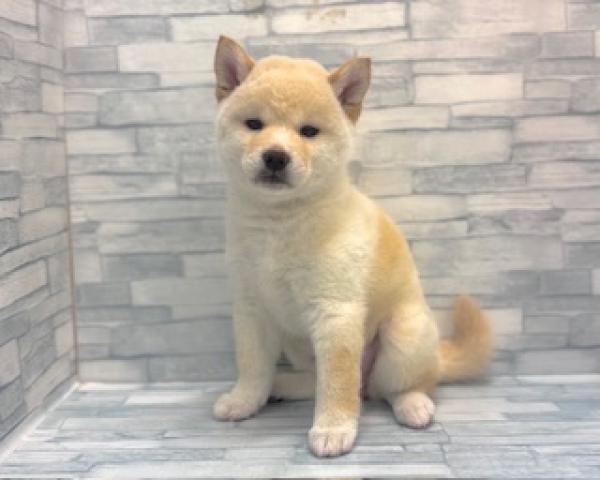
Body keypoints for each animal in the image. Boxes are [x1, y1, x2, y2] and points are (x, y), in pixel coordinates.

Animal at [212, 35, 494, 458]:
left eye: (309, 131)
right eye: (254, 125)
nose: (276, 156)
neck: (280, 224)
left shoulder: (336, 313)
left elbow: (338, 384)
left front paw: (333, 429)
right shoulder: (252, 309)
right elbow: (253, 366)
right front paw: (245, 400)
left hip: (402, 338)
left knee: (391, 386)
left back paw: (413, 404)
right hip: (300, 345)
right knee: (327, 381)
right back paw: (283, 386)